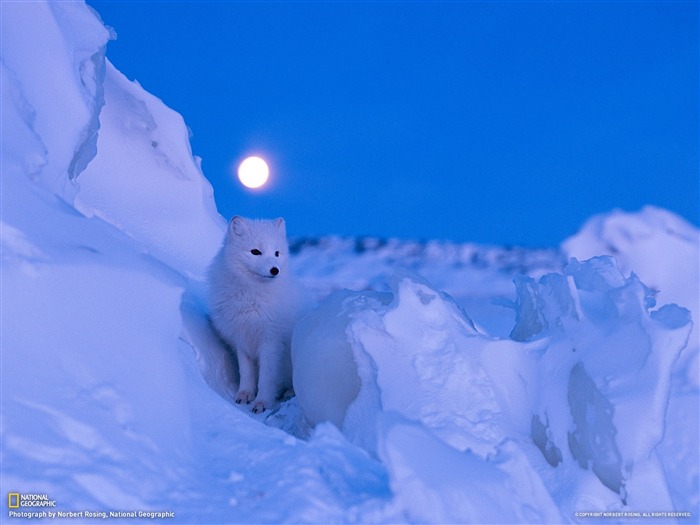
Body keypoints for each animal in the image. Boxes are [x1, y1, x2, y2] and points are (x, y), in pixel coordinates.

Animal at [206, 215, 308, 412]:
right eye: (255, 252)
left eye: (277, 253)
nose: (275, 270)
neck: (251, 298)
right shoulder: (242, 338)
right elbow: (246, 372)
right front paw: (244, 395)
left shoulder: (271, 341)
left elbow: (267, 378)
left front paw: (262, 402)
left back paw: (289, 392)